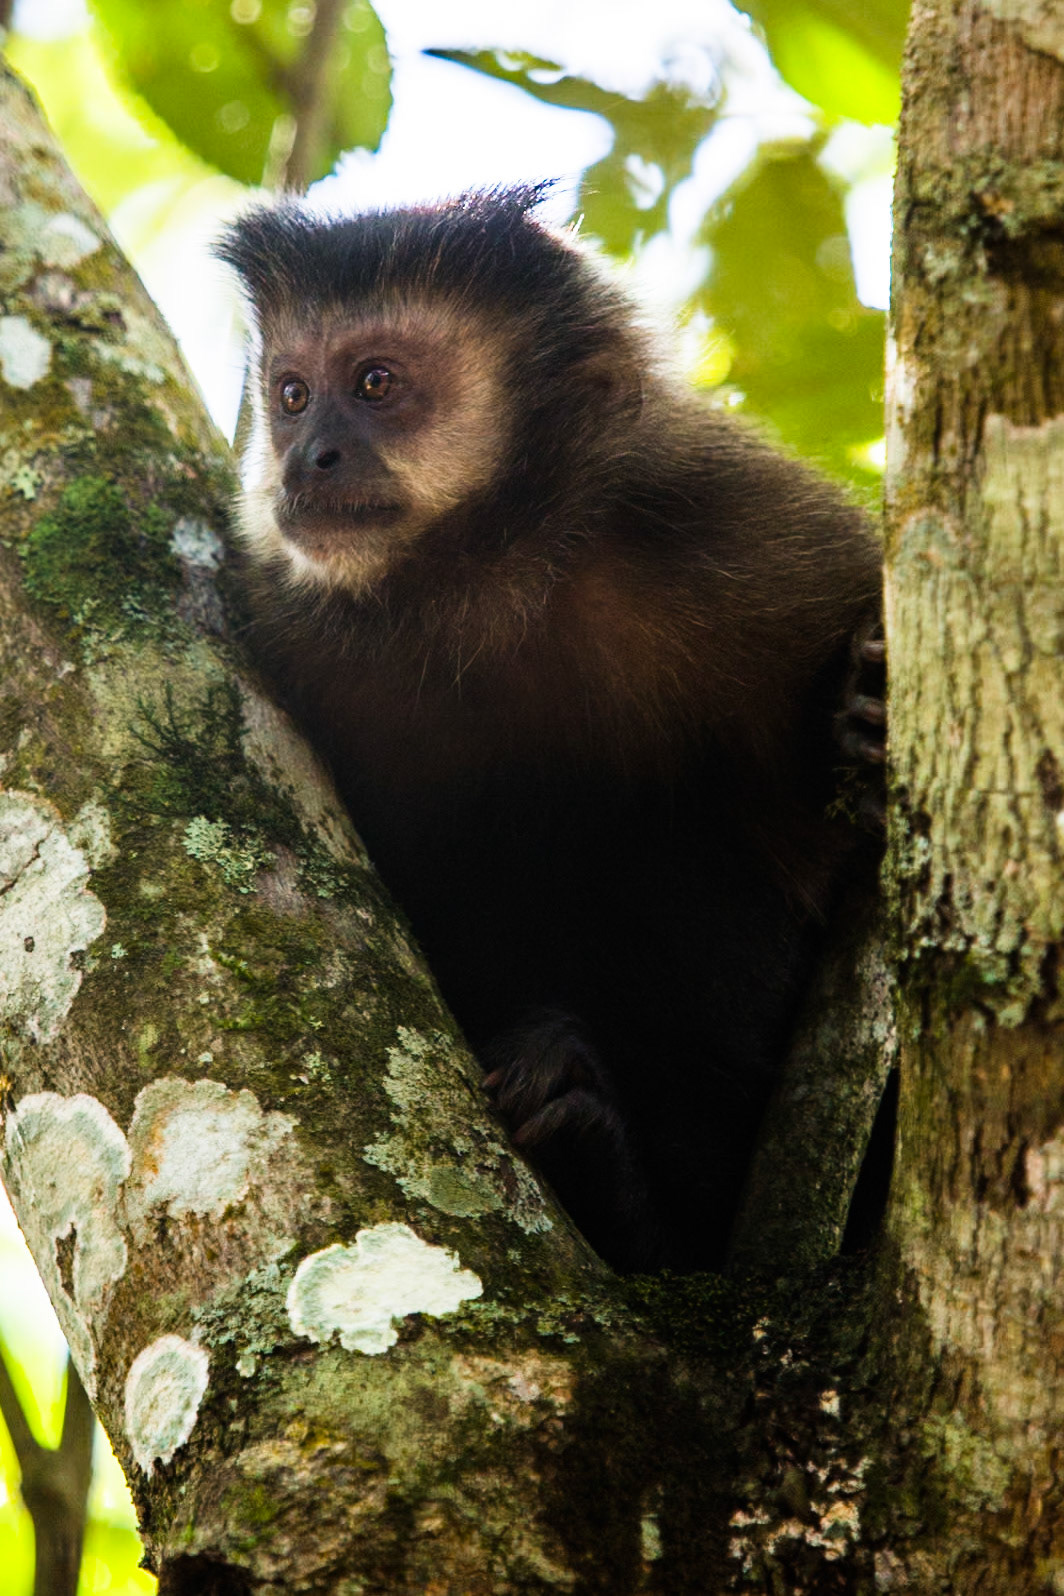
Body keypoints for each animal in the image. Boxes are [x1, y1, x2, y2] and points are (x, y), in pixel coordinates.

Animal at [215, 186, 885, 1273]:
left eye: (375, 383)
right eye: (291, 394)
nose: (308, 458)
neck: (497, 584)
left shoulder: (751, 535)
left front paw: (862, 741)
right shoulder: (292, 626)